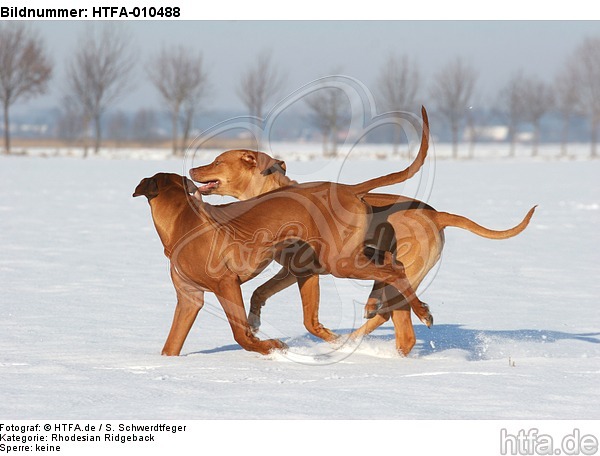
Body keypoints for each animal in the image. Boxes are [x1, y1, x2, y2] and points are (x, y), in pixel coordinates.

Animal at [134, 136, 440, 356]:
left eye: (218, 161)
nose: (191, 169)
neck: (184, 221)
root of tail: (347, 188)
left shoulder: (228, 283)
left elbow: (241, 334)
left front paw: (270, 346)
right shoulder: (189, 299)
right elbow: (171, 347)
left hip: (340, 263)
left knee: (393, 274)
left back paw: (420, 313)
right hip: (348, 257)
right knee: (393, 269)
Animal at [191, 130, 536, 354]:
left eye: (217, 161)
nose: (192, 167)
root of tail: (437, 215)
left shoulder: (306, 271)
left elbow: (306, 318)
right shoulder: (292, 271)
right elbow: (259, 292)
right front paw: (254, 320)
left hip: (370, 267)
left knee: (397, 315)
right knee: (389, 308)